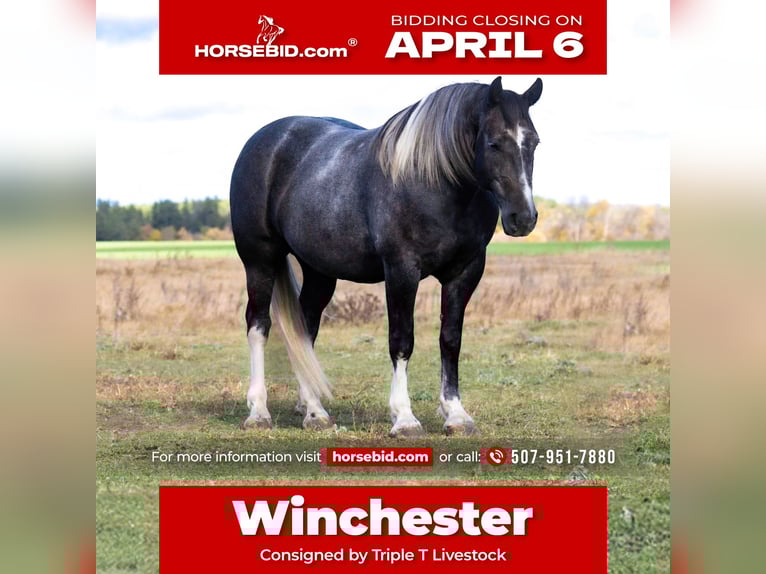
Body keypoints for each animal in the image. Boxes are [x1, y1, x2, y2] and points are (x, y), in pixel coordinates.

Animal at [230, 76, 543, 437]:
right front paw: (404, 418)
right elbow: (402, 340)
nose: (523, 218)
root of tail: (266, 139)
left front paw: (456, 415)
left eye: (534, 142)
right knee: (258, 325)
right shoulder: (401, 271)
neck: (433, 181)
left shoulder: (465, 272)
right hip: (260, 260)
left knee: (304, 328)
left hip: (320, 271)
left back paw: (314, 411)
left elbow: (450, 340)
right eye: (493, 143)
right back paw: (258, 412)